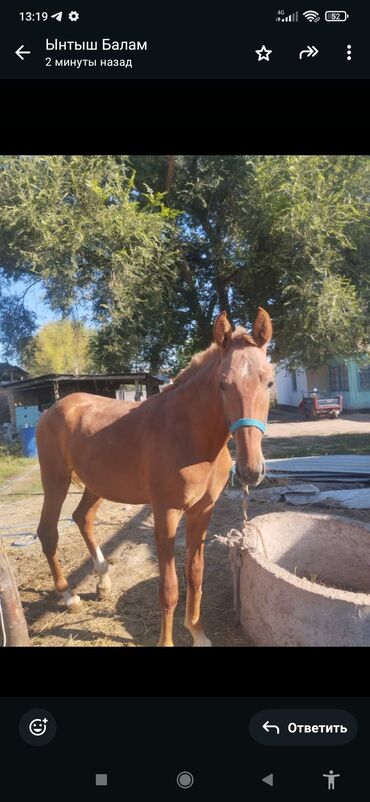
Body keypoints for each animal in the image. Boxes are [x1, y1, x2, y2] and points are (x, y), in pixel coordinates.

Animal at [36, 306, 274, 644]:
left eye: (269, 382)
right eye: (223, 384)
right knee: (48, 531)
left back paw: (102, 579)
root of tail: (54, 407)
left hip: (96, 484)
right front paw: (168, 640)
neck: (189, 434)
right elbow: (169, 587)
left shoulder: (203, 511)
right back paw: (69, 596)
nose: (250, 470)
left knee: (82, 517)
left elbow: (195, 574)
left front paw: (198, 633)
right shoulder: (166, 513)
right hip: (55, 479)